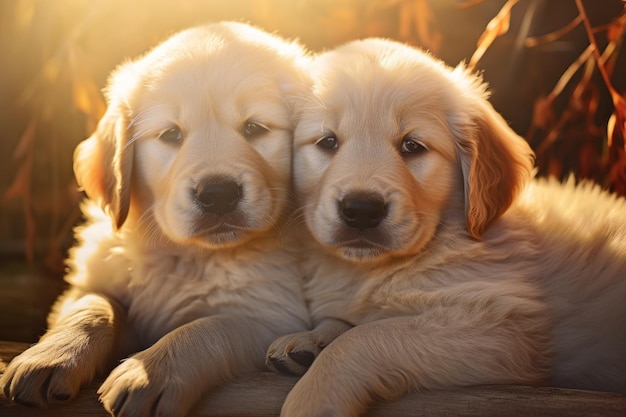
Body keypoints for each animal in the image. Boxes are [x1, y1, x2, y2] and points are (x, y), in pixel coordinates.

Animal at [0, 22, 310, 416]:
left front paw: (151, 373)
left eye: (255, 128)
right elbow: (94, 307)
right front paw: (51, 357)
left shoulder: (269, 314)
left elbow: (210, 325)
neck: (187, 254)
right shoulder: (86, 284)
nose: (218, 194)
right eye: (170, 134)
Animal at [266, 36, 624, 416]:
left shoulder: (503, 327)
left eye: (412, 145)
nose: (361, 209)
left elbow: (367, 336)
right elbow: (349, 321)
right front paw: (311, 338)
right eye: (328, 142)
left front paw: (314, 396)